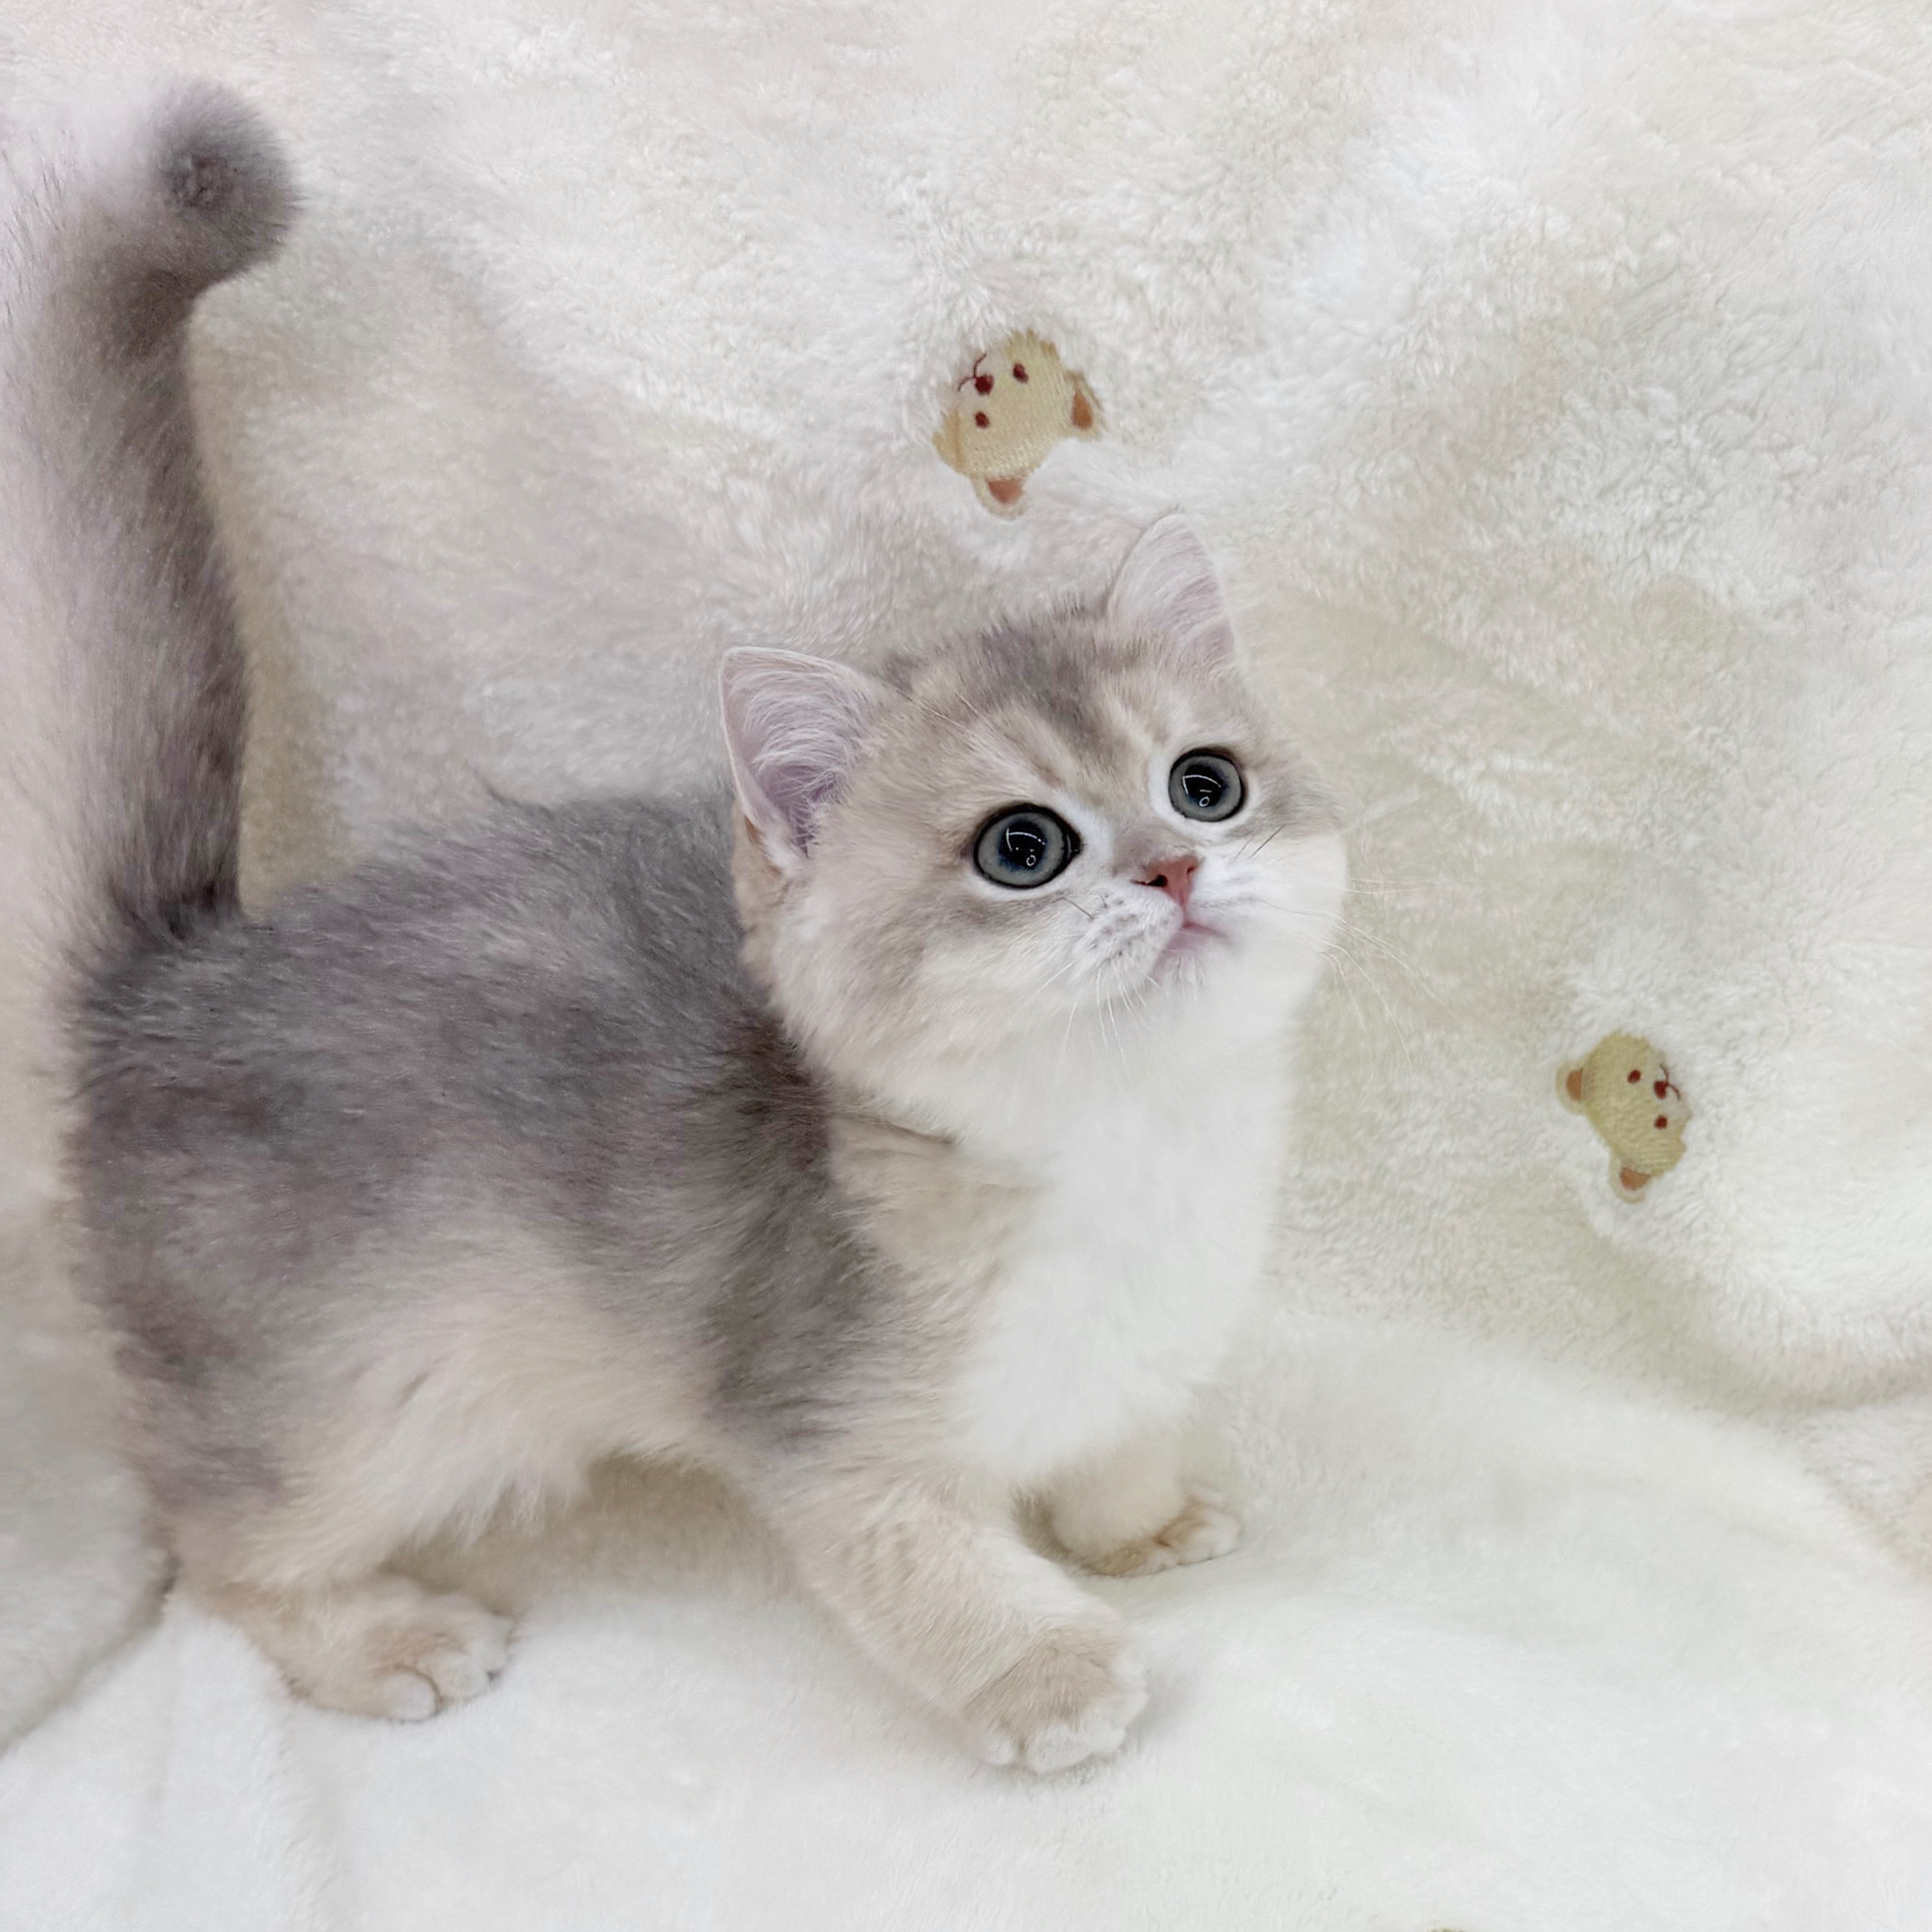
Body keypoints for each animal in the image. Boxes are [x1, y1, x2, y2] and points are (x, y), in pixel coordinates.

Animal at [14, 83, 1346, 1773]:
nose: (1175, 870)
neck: (1137, 1152)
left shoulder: (1136, 1360)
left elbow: (1116, 1444)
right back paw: (385, 1637)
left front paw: (1141, 1522)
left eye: (1206, 784)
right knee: (215, 1553)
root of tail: (170, 984)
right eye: (1021, 848)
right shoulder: (825, 1429)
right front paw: (1049, 1672)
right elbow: (932, 1565)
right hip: (354, 1399)